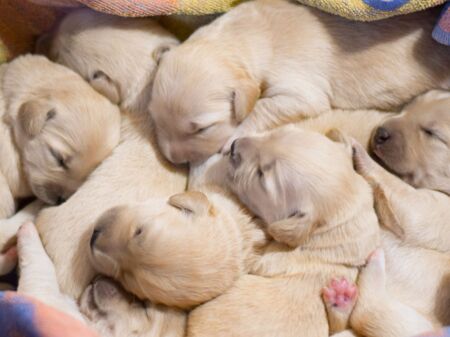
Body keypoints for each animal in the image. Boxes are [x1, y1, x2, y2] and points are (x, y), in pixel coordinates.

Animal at [150, 0, 450, 164]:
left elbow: (265, 107)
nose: (174, 160)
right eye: (155, 120)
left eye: (203, 129)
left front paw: (235, 135)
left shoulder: (299, 87)